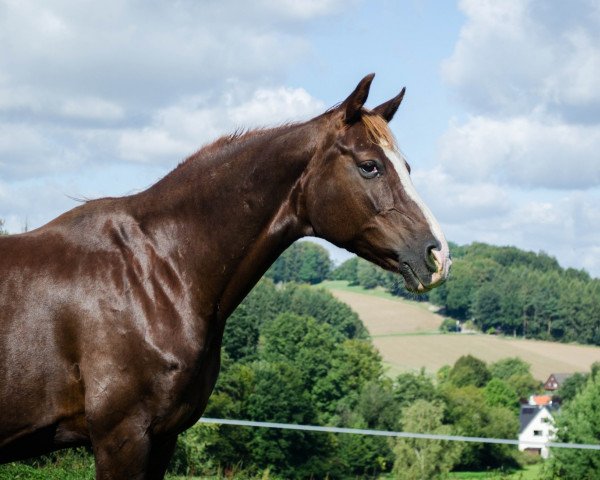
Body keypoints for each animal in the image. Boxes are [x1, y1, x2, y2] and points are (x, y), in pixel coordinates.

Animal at [0, 73, 450, 478]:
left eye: (406, 166)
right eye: (370, 166)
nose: (438, 256)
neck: (152, 275)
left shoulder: (163, 438)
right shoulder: (121, 438)